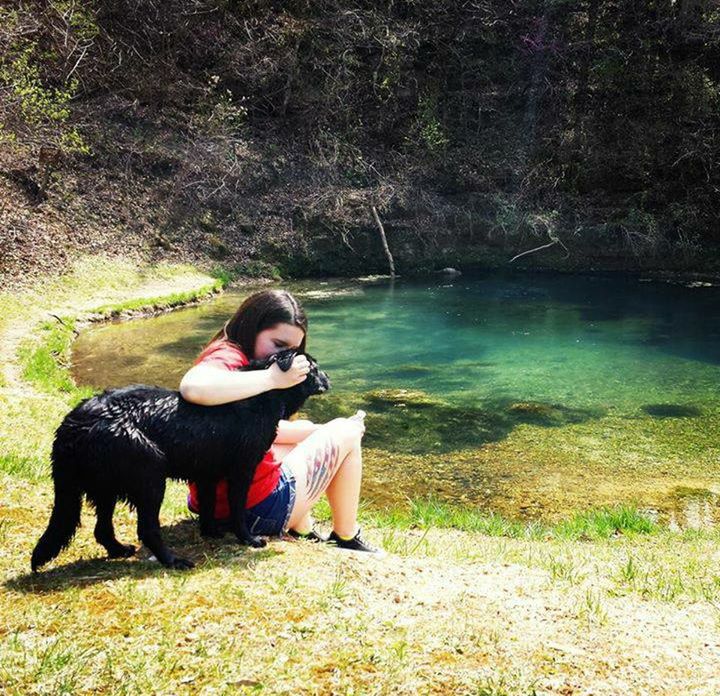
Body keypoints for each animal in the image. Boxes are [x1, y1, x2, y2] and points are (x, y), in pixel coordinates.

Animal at [30, 348, 330, 572]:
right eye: (314, 367)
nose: (328, 378)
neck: (261, 394)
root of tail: (71, 424)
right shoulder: (241, 469)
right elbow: (237, 509)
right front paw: (249, 539)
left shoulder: (207, 472)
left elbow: (208, 506)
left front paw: (211, 532)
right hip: (148, 472)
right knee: (148, 528)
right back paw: (173, 561)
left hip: (107, 484)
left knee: (102, 528)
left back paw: (120, 550)